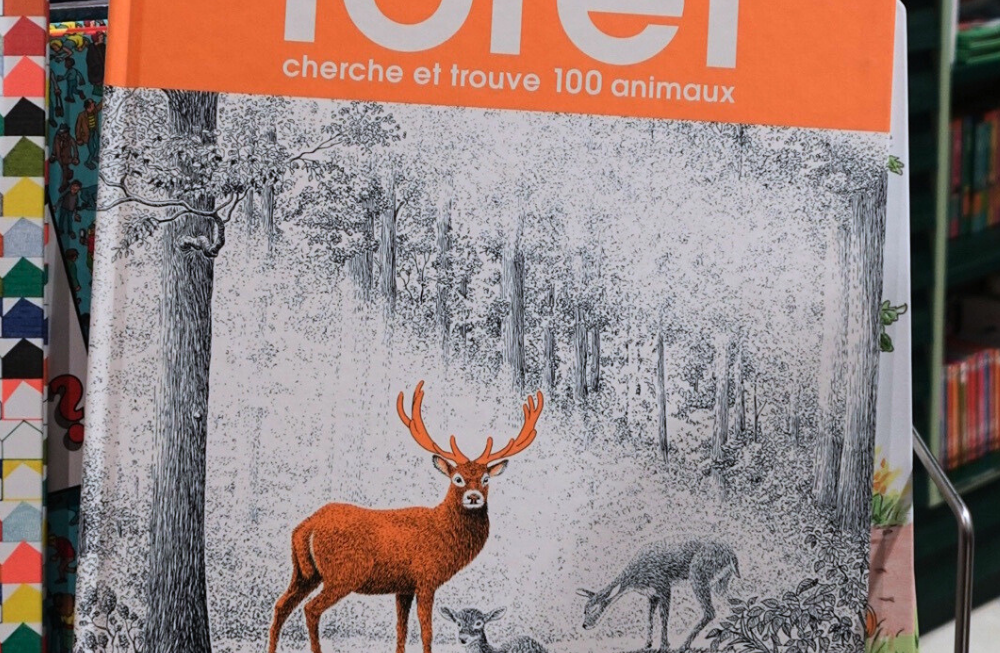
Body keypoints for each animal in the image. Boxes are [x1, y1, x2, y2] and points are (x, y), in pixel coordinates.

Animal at [267, 381, 543, 653]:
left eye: (486, 479)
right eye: (457, 478)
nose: (474, 497)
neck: (443, 531)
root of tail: (306, 527)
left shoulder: (403, 586)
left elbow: (401, 630)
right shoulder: (426, 578)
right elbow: (426, 632)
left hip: (304, 573)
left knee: (281, 605)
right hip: (343, 574)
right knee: (311, 609)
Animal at [576, 539, 740, 652]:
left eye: (595, 608)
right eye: (584, 610)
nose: (585, 625)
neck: (636, 578)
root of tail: (732, 555)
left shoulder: (664, 586)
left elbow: (663, 617)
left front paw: (664, 645)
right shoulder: (652, 595)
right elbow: (649, 618)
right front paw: (647, 644)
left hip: (698, 576)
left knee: (710, 611)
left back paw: (683, 645)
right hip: (720, 583)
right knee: (735, 604)